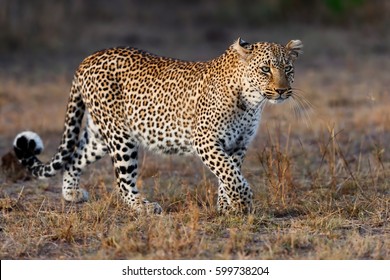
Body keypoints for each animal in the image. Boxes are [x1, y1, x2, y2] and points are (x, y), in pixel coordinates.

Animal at [13, 37, 304, 214]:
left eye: (288, 69)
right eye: (265, 69)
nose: (282, 91)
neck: (251, 101)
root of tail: (88, 58)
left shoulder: (238, 145)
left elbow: (230, 175)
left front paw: (226, 205)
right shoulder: (206, 141)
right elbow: (230, 174)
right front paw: (243, 202)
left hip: (100, 136)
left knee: (74, 157)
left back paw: (71, 193)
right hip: (121, 138)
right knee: (122, 181)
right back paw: (144, 206)